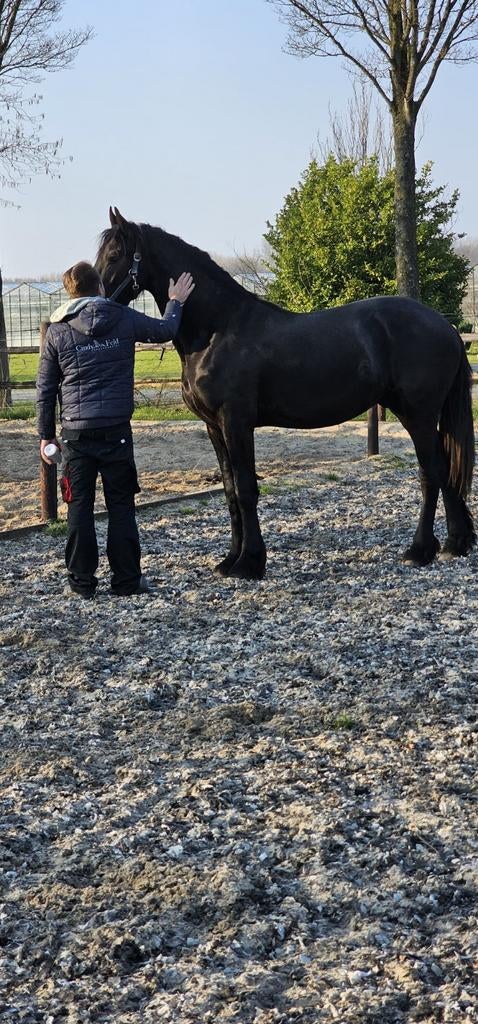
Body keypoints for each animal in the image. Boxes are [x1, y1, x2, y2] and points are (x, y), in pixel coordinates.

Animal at [95, 207, 475, 580]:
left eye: (114, 255)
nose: (96, 305)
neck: (217, 330)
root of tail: (446, 327)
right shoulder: (214, 427)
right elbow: (230, 491)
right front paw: (230, 560)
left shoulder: (236, 422)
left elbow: (246, 489)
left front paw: (249, 563)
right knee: (446, 467)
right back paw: (454, 544)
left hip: (418, 415)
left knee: (431, 473)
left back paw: (419, 551)